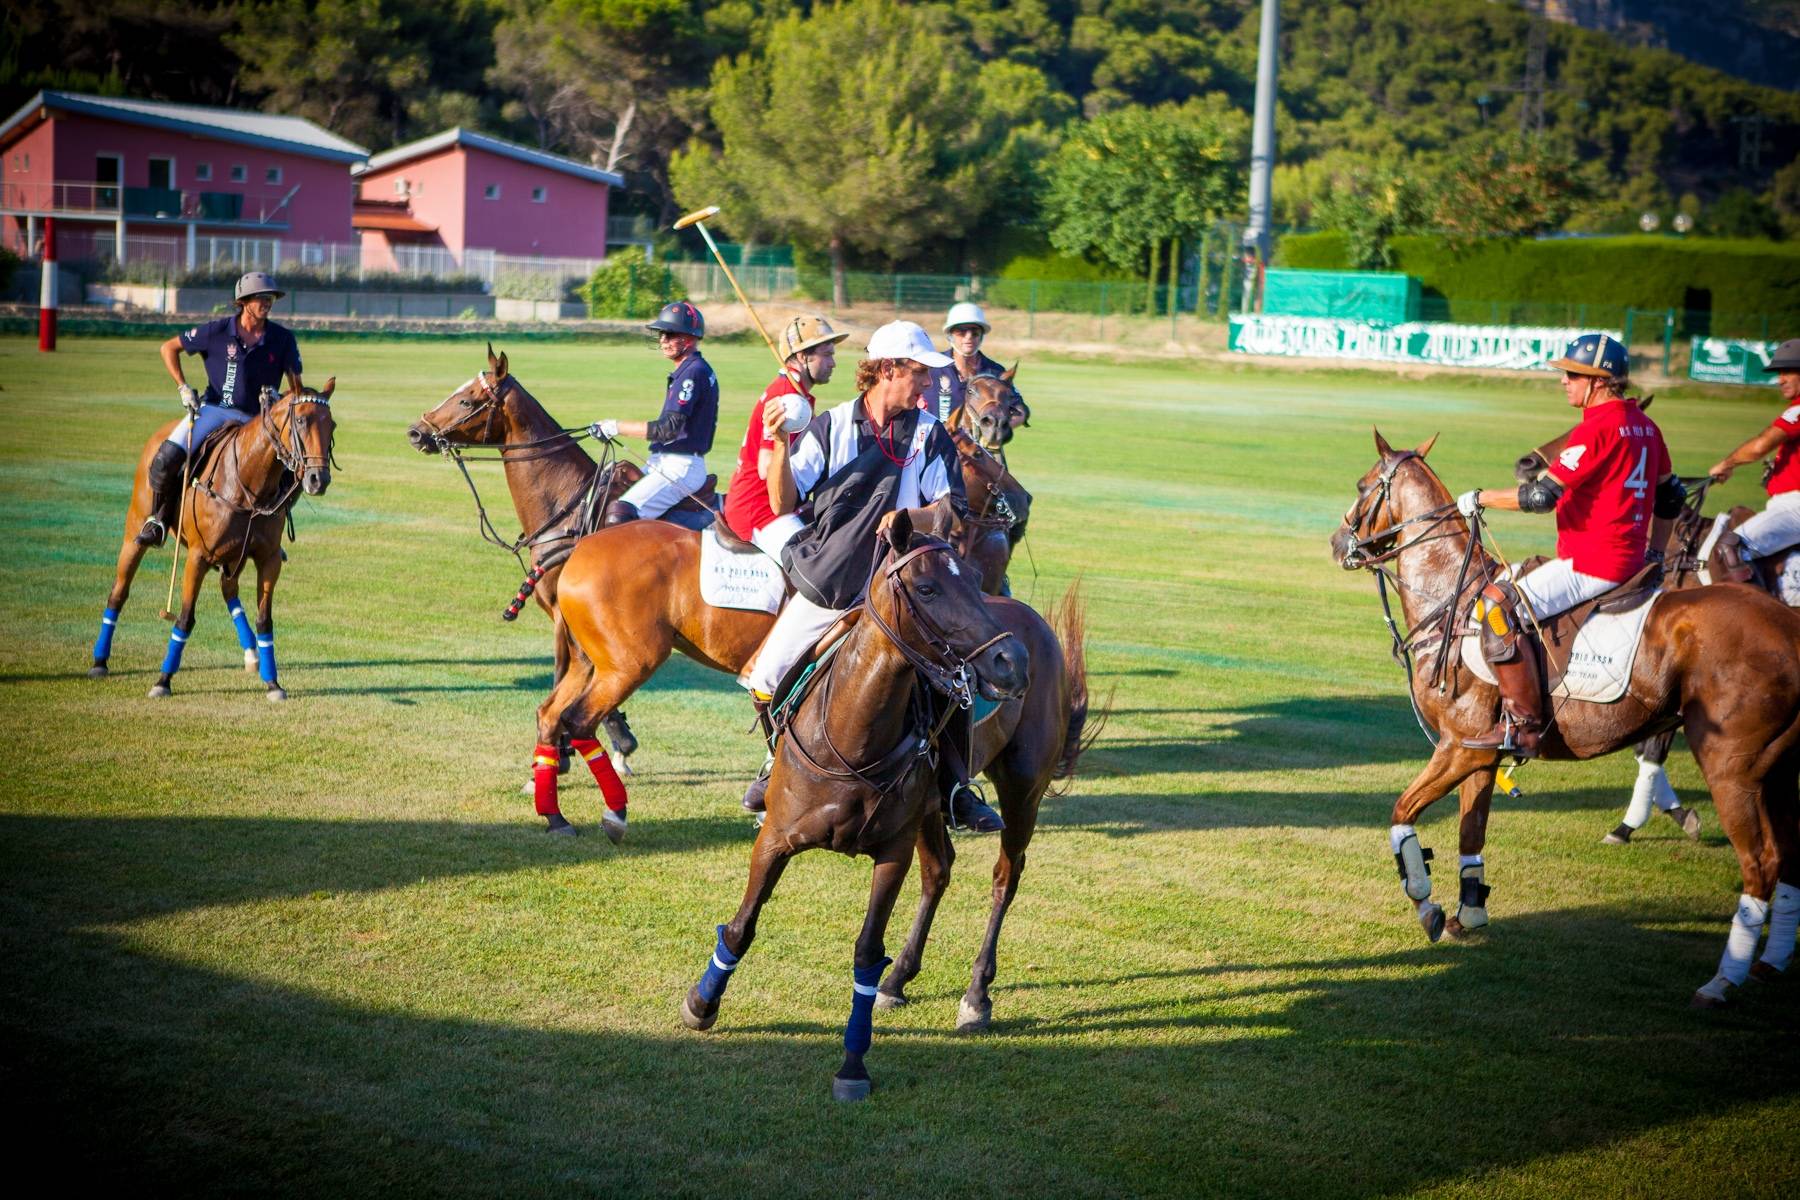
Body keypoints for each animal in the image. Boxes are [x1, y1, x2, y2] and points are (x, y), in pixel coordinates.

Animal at [90, 385, 338, 705]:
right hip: (135, 529)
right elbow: (184, 619)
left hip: (235, 555)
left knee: (228, 590)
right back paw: (99, 661)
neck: (249, 481)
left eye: (332, 425)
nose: (318, 479)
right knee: (118, 592)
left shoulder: (268, 559)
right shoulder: (198, 557)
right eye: (301, 421)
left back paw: (252, 655)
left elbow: (265, 620)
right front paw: (163, 681)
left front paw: (273, 683)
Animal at [676, 510, 1087, 1101]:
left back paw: (976, 995)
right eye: (928, 587)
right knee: (940, 871)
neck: (852, 731)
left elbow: (867, 953)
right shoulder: (775, 838)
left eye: (972, 579)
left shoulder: (891, 852)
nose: (1012, 662)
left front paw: (853, 1063)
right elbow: (741, 926)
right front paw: (701, 1003)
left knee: (1005, 878)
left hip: (1022, 788)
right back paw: (900, 980)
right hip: (933, 809)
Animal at [1332, 426, 1800, 1007]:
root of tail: (1790, 628)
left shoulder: (1458, 745)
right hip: (1778, 767)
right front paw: (1469, 912)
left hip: (1731, 765)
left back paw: (1720, 981)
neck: (1451, 600)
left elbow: (1401, 814)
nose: (1337, 542)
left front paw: (1428, 905)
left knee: (1761, 863)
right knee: (1790, 856)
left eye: (1362, 485)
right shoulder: (1482, 753)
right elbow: (1470, 833)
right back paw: (1771, 963)